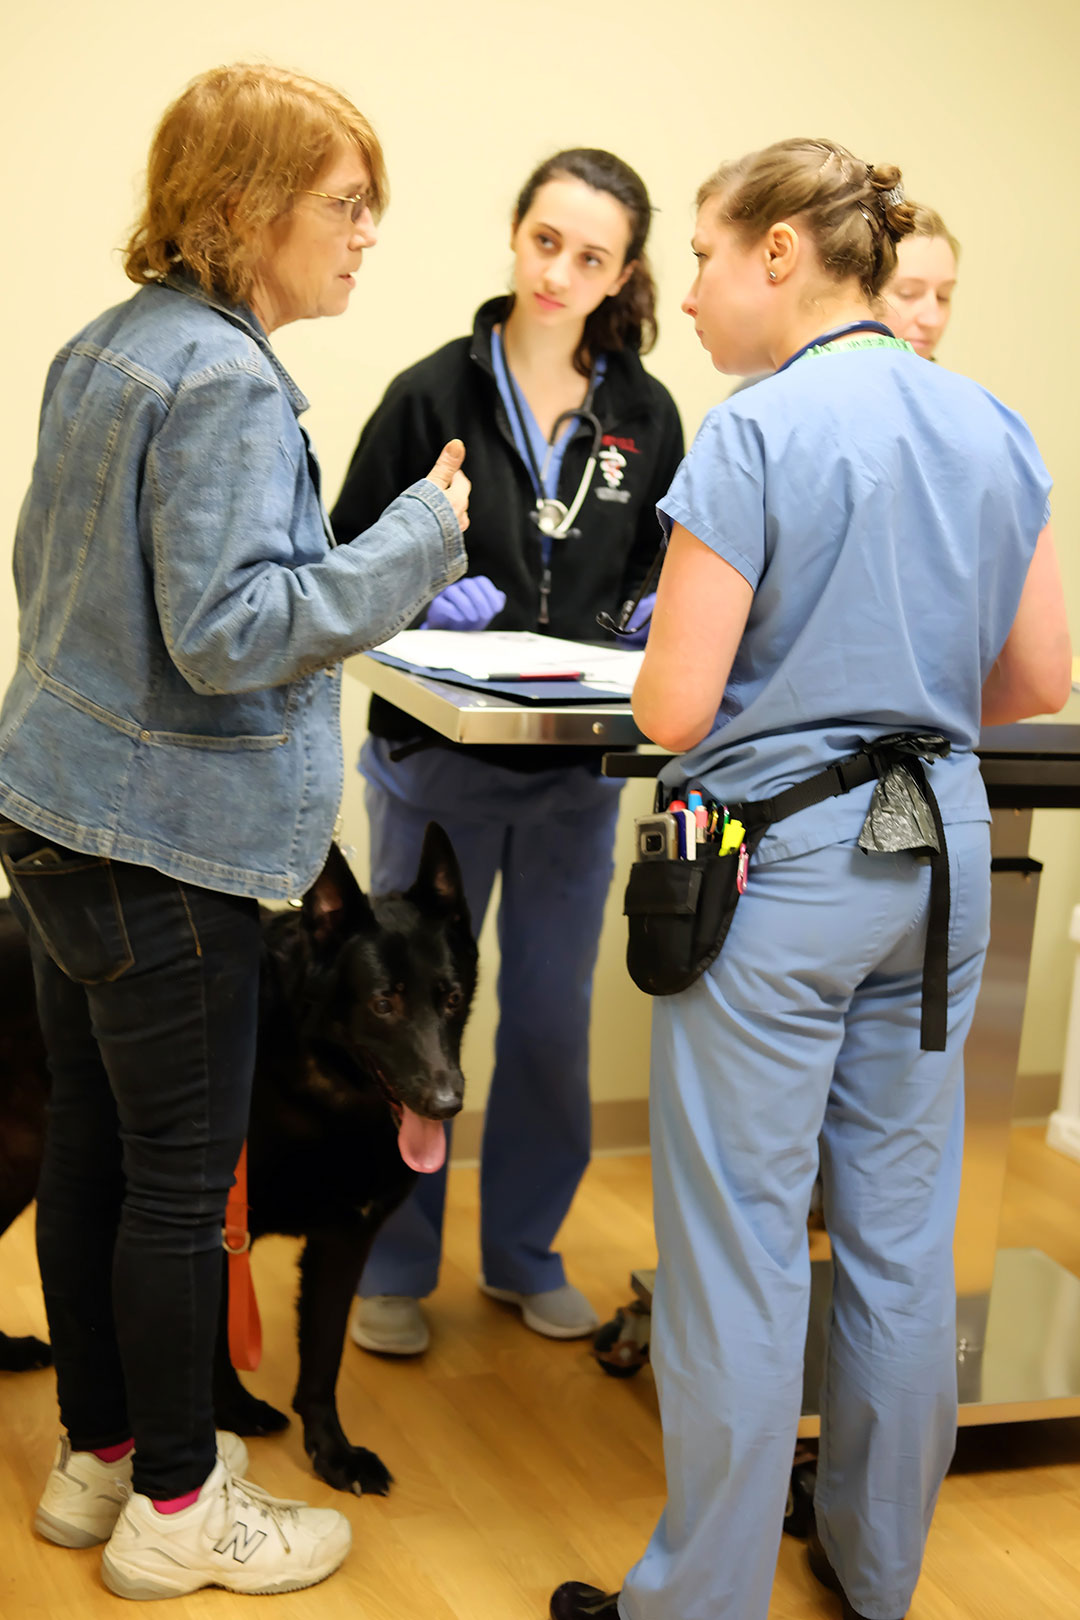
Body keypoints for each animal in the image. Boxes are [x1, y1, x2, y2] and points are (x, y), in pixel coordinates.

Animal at [0, 829, 476, 1496]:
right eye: (384, 1004)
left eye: (452, 999)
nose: (447, 1102)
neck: (324, 1087)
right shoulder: (220, 1234)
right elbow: (209, 1346)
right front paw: (233, 1414)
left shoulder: (345, 1242)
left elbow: (323, 1359)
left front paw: (332, 1454)